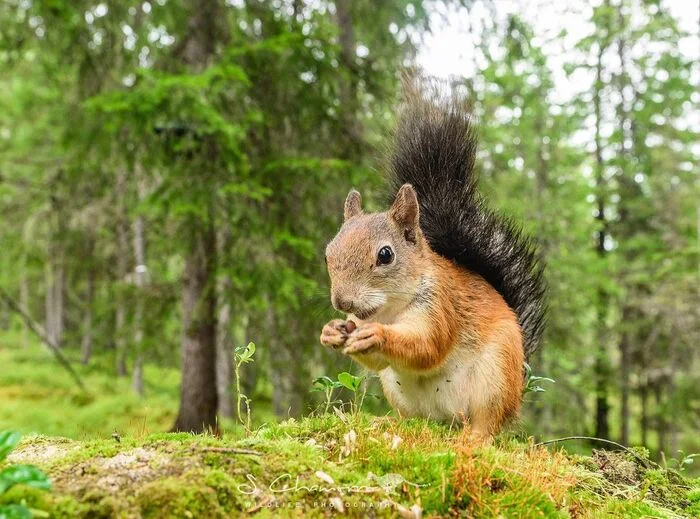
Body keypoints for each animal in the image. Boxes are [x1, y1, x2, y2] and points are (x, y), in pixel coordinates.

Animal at [318, 89, 548, 438]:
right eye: (328, 253)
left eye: (385, 255)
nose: (341, 301)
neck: (390, 309)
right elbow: (377, 361)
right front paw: (330, 331)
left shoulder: (441, 306)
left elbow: (426, 347)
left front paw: (378, 335)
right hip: (398, 390)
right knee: (414, 417)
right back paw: (388, 421)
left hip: (496, 376)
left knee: (488, 422)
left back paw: (474, 438)